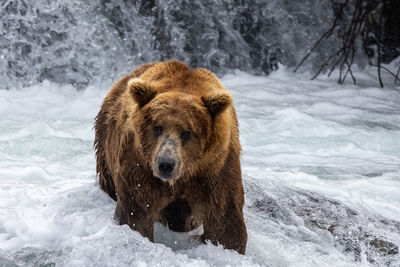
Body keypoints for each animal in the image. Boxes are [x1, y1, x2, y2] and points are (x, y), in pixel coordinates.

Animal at [95, 60, 248, 255]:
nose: (166, 164)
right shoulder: (140, 167)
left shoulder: (214, 168)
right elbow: (136, 212)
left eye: (187, 132)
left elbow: (224, 220)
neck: (183, 176)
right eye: (157, 127)